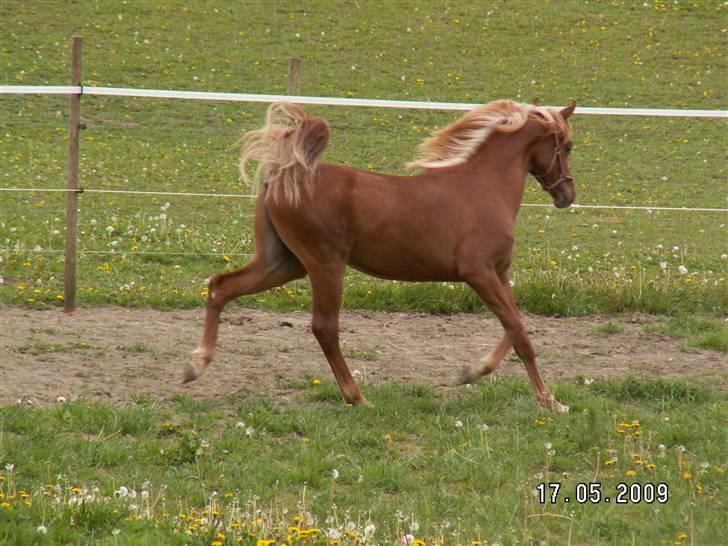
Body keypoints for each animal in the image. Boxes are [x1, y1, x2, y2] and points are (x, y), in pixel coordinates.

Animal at [191, 99, 576, 412]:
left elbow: (517, 329)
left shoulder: (499, 272)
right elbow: (517, 328)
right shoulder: (478, 273)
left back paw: (195, 366)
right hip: (325, 264)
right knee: (324, 327)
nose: (568, 194)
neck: (483, 188)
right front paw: (536, 396)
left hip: (282, 263)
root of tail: (283, 175)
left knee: (221, 286)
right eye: (568, 146)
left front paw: (494, 380)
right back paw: (357, 397)